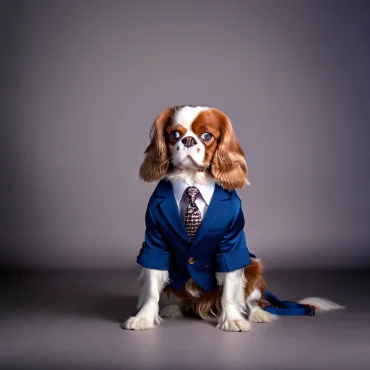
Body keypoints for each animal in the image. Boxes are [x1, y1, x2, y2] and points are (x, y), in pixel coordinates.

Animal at [121, 105, 344, 332]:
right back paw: (173, 308)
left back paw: (257, 314)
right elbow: (152, 288)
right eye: (174, 134)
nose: (188, 140)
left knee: (253, 301)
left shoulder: (230, 244)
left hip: (253, 265)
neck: (192, 182)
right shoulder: (154, 241)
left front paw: (233, 320)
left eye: (207, 136)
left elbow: (229, 290)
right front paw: (144, 318)